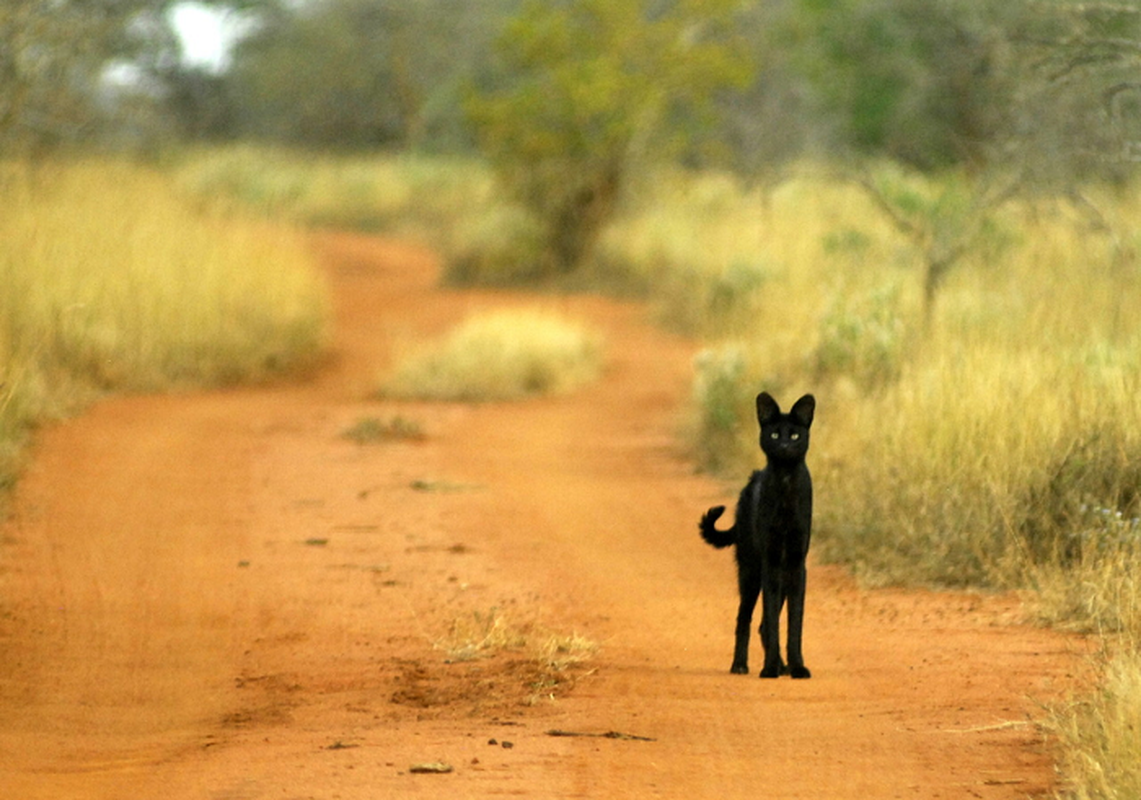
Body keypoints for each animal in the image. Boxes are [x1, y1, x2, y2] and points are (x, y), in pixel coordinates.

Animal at [698, 390, 816, 675]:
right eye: (774, 434)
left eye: (794, 435)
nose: (783, 445)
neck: (785, 482)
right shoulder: (770, 562)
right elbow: (773, 620)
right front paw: (770, 669)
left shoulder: (796, 563)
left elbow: (794, 623)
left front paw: (797, 667)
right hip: (750, 571)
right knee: (745, 618)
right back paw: (740, 665)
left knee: (761, 624)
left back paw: (783, 667)